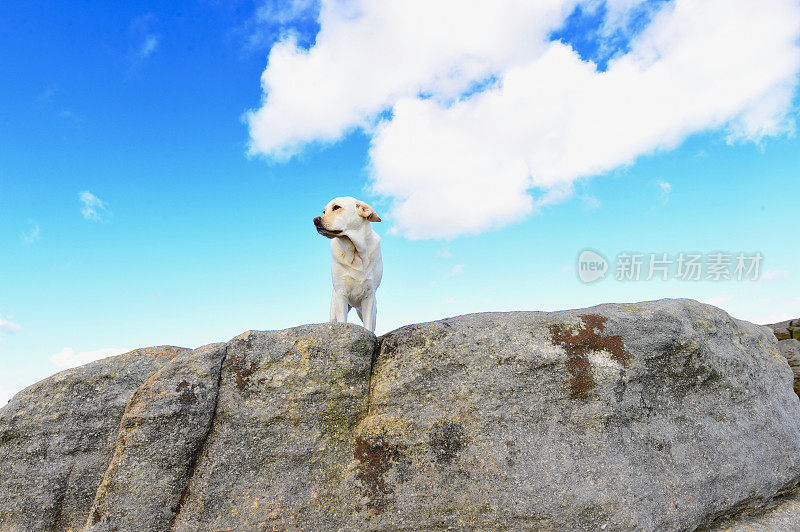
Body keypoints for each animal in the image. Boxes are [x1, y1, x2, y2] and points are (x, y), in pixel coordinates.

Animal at [314, 197, 382, 330]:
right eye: (324, 211)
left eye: (336, 207)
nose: (315, 220)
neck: (356, 252)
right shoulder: (341, 294)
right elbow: (342, 321)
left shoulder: (369, 296)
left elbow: (367, 326)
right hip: (334, 308)